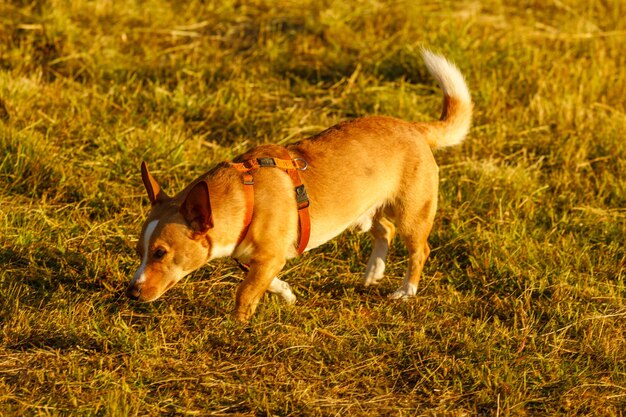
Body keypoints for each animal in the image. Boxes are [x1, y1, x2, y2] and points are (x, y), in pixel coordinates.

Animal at [125, 49, 468, 322]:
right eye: (140, 251)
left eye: (160, 253)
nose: (131, 292)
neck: (244, 195)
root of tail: (415, 128)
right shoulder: (260, 259)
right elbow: (263, 281)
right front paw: (286, 293)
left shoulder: (269, 257)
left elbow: (245, 291)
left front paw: (235, 325)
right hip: (365, 210)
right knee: (385, 230)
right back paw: (373, 272)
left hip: (413, 214)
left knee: (419, 249)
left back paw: (406, 291)